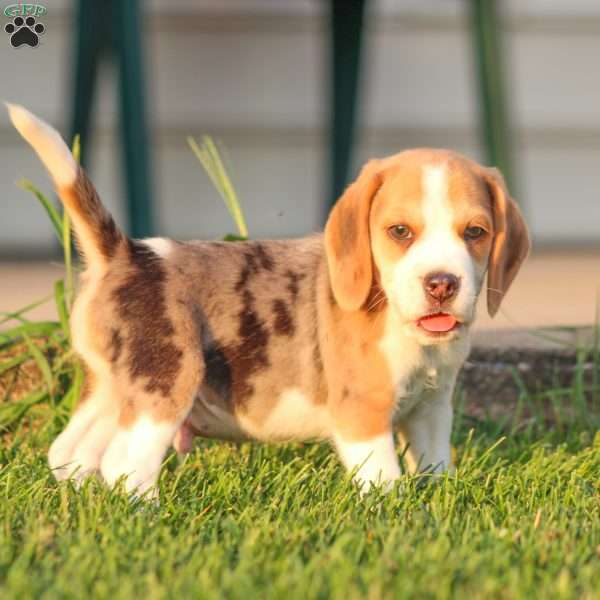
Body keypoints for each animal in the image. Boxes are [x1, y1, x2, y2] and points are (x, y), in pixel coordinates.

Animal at [7, 104, 528, 496]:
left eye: (475, 233)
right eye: (400, 232)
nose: (441, 284)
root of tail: (126, 254)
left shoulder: (431, 409)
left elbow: (436, 467)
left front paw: (439, 503)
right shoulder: (363, 414)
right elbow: (385, 481)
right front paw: (398, 515)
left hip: (113, 389)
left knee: (70, 454)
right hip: (166, 382)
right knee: (124, 466)